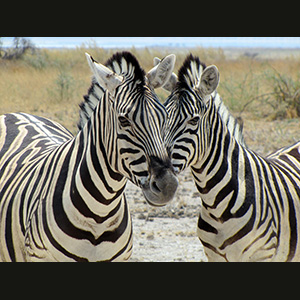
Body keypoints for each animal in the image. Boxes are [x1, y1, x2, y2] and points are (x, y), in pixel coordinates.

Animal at [164, 55, 300, 262]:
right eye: (162, 117)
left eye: (194, 120)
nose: (159, 176)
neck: (216, 206)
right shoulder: (214, 256)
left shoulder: (262, 255)